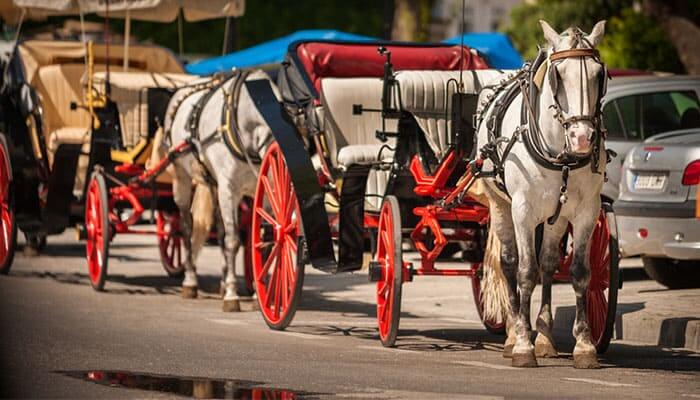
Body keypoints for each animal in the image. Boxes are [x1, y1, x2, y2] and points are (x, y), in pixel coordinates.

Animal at [161, 70, 276, 310]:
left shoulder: (260, 195)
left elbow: (260, 241)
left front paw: (255, 296)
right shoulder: (229, 188)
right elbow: (233, 241)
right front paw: (232, 295)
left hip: (214, 186)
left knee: (221, 232)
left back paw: (222, 282)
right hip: (183, 179)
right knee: (186, 229)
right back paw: (190, 281)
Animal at [478, 20, 608, 368]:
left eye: (599, 74)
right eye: (557, 75)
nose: (582, 138)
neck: (561, 154)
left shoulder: (587, 211)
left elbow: (580, 273)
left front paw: (584, 345)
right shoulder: (522, 210)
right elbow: (525, 272)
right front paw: (523, 344)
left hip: (556, 216)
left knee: (548, 262)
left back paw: (545, 336)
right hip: (500, 205)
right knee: (510, 262)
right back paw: (513, 333)